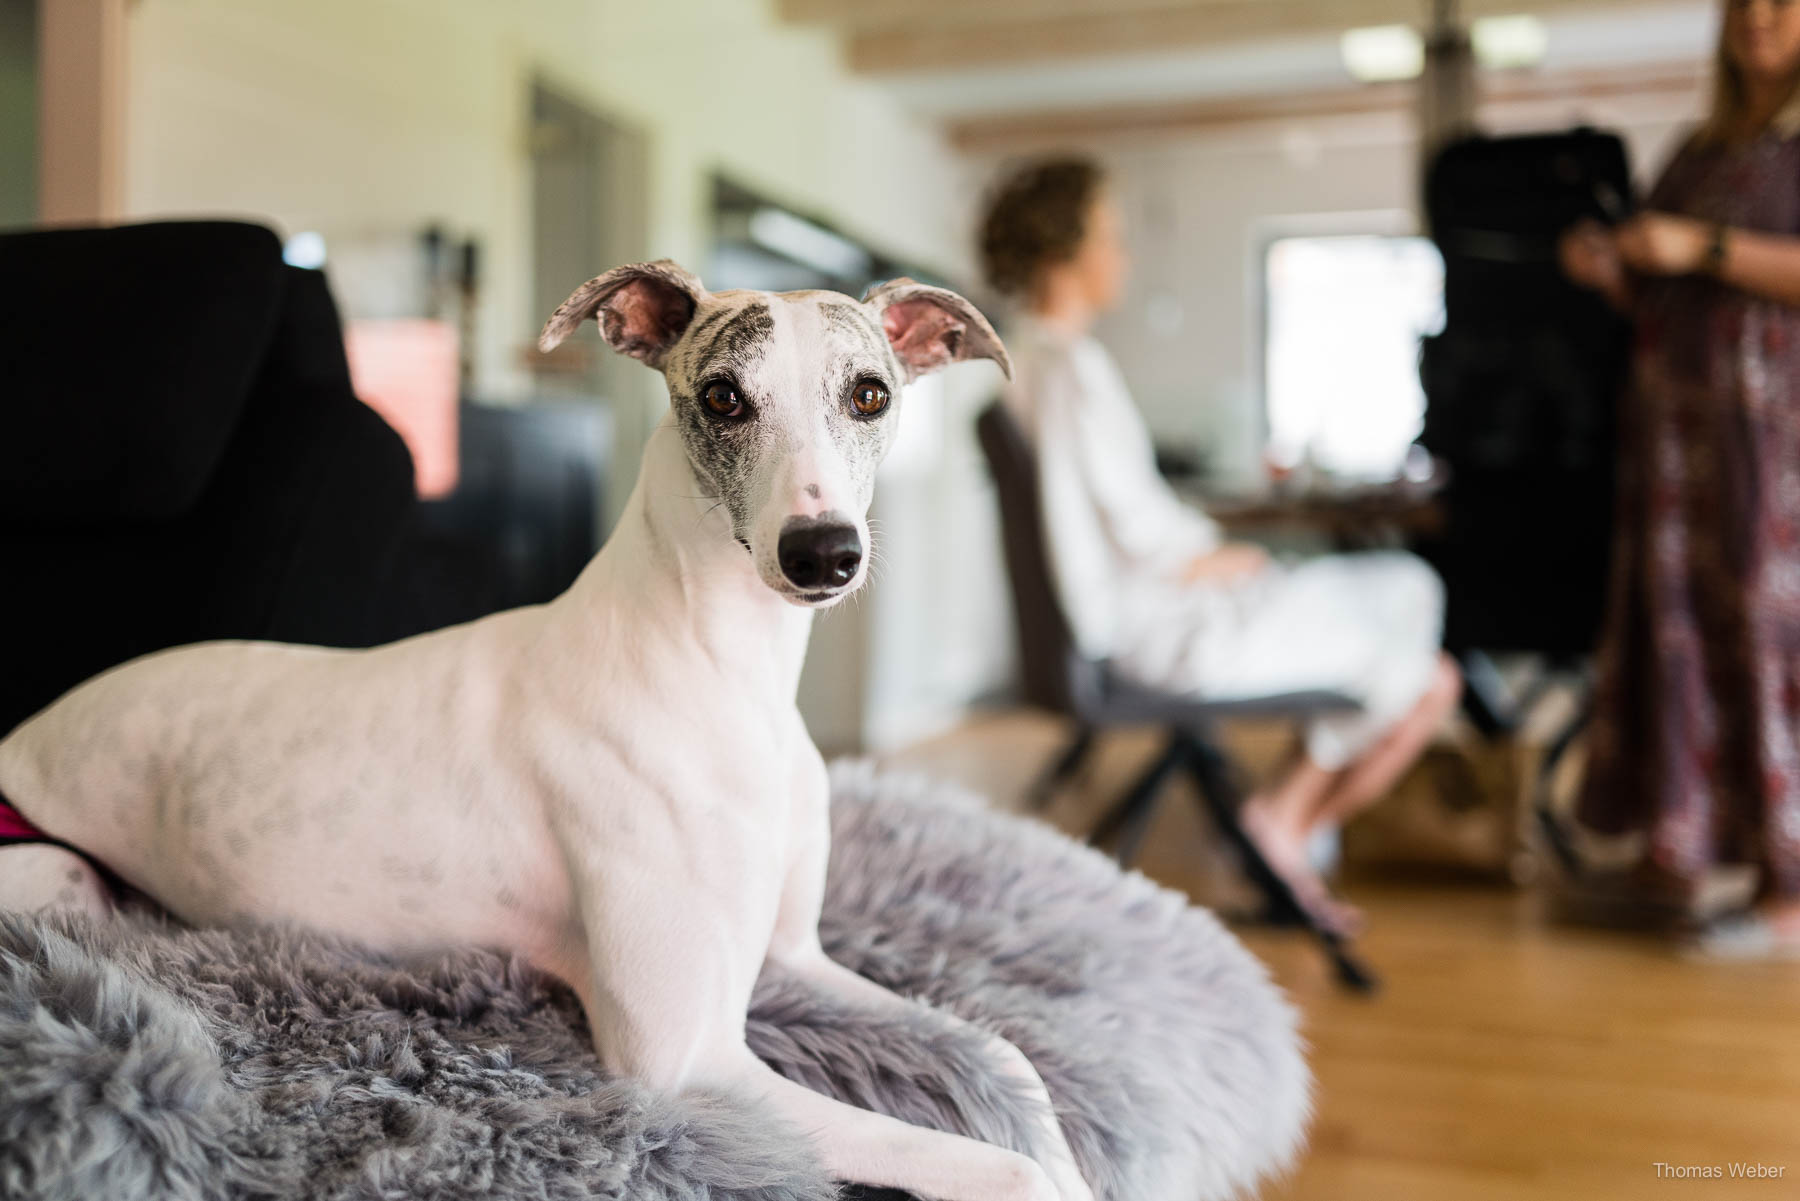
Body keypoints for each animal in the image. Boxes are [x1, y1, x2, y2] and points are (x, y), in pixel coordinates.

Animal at [0, 262, 1094, 1201]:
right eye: (724, 399)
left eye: (869, 394)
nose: (823, 553)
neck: (717, 673)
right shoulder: (688, 1061)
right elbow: (998, 1165)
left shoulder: (797, 957)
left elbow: (1004, 1051)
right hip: (60, 879)